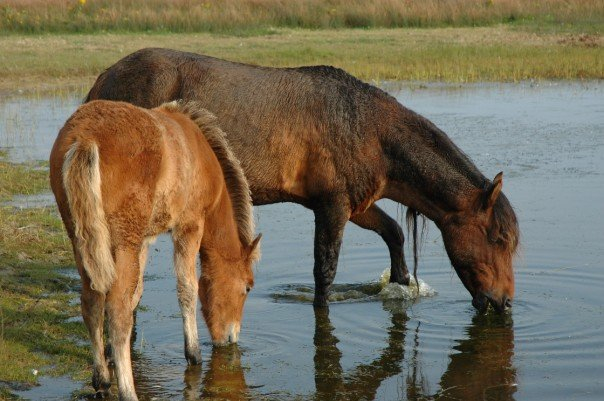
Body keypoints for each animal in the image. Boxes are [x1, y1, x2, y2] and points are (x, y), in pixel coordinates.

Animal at [49, 97, 260, 400]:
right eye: (247, 287)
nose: (231, 338)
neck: (200, 154)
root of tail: (86, 138)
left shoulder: (146, 240)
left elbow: (137, 291)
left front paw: (112, 352)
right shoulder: (189, 227)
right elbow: (187, 289)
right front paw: (193, 353)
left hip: (82, 240)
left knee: (91, 302)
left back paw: (102, 379)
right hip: (124, 241)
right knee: (117, 310)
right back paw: (127, 390)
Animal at [84, 48, 520, 310]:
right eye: (499, 238)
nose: (503, 302)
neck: (370, 131)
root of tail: (105, 78)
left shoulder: (354, 205)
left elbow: (393, 232)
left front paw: (399, 281)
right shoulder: (331, 207)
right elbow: (324, 271)